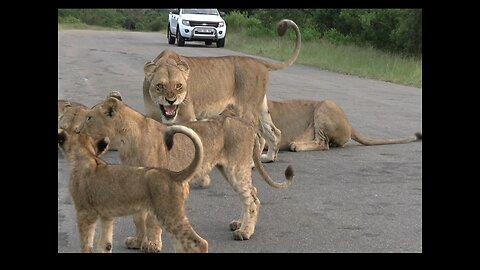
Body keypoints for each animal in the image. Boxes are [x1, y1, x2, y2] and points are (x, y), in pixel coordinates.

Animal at [56, 126, 206, 253]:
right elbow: (105, 244)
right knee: (183, 245)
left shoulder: (85, 213)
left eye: (76, 130)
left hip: (169, 214)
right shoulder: (106, 216)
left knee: (201, 243)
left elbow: (86, 244)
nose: (61, 128)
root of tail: (173, 174)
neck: (87, 156)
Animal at [79, 95, 292, 251]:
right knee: (251, 194)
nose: (77, 132)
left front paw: (152, 244)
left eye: (89, 118)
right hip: (228, 169)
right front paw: (137, 241)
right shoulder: (137, 184)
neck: (124, 141)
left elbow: (152, 220)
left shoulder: (156, 184)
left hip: (236, 168)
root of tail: (247, 125)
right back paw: (239, 224)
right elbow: (138, 217)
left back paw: (245, 232)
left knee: (252, 199)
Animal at [142, 19, 300, 163]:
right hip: (260, 106)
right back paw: (268, 158)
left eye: (179, 85)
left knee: (259, 137)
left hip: (245, 110)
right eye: (159, 86)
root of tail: (260, 62)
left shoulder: (188, 118)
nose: (171, 100)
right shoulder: (152, 117)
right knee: (275, 132)